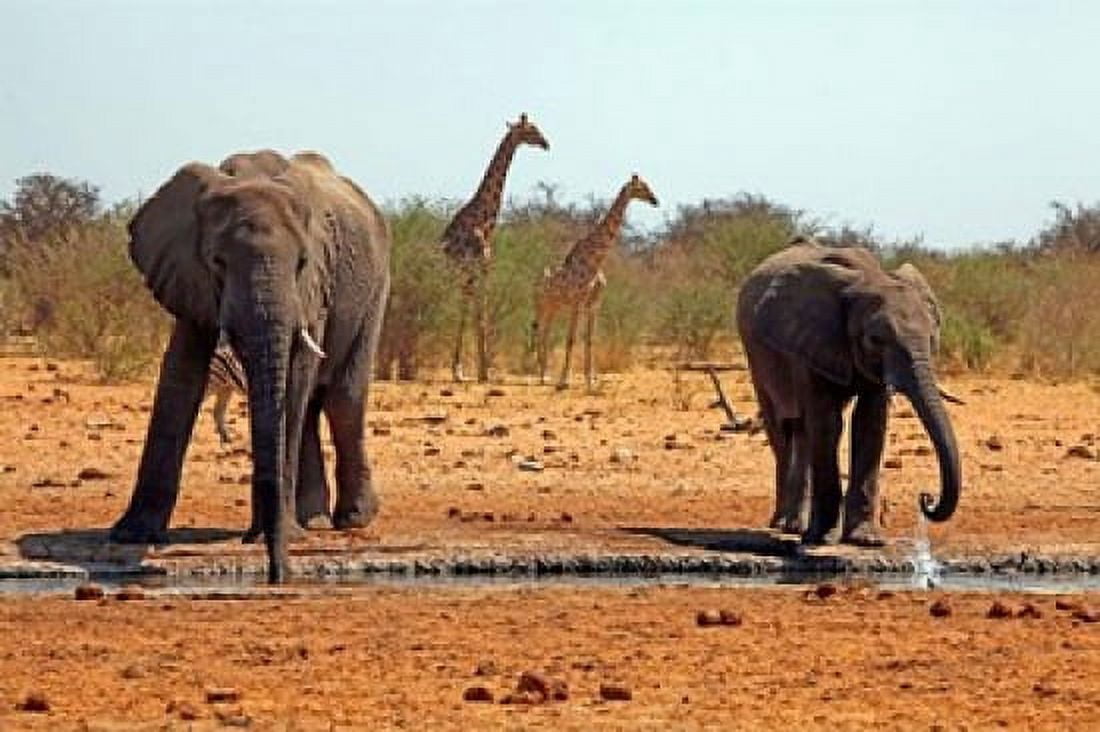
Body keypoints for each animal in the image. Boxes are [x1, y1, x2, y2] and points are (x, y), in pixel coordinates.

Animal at [109, 150, 391, 583]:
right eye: (218, 262)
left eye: (302, 262)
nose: (278, 575)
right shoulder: (189, 277)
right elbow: (179, 376)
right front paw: (131, 534)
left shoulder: (313, 288)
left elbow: (295, 375)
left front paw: (276, 534)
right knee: (311, 407)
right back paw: (313, 520)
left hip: (376, 289)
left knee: (342, 399)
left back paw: (350, 520)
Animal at [442, 112, 550, 382]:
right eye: (531, 130)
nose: (546, 143)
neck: (484, 218)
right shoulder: (484, 262)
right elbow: (482, 310)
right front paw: (482, 371)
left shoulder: (479, 265)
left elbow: (478, 309)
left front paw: (479, 369)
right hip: (462, 270)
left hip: (459, 272)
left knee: (459, 303)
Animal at [534, 174, 658, 391]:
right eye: (641, 187)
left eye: (647, 185)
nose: (655, 200)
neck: (595, 260)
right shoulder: (577, 302)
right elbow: (571, 339)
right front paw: (564, 381)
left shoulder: (594, 304)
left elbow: (590, 340)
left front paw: (590, 380)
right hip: (543, 306)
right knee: (541, 332)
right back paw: (543, 377)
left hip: (555, 307)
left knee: (546, 333)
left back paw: (545, 375)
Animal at [736, 236, 960, 547]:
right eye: (875, 339)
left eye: (932, 338)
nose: (926, 498)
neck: (867, 279)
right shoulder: (808, 342)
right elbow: (828, 424)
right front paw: (820, 538)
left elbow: (869, 423)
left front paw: (865, 539)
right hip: (755, 356)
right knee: (782, 430)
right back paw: (783, 524)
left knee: (802, 431)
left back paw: (795, 526)